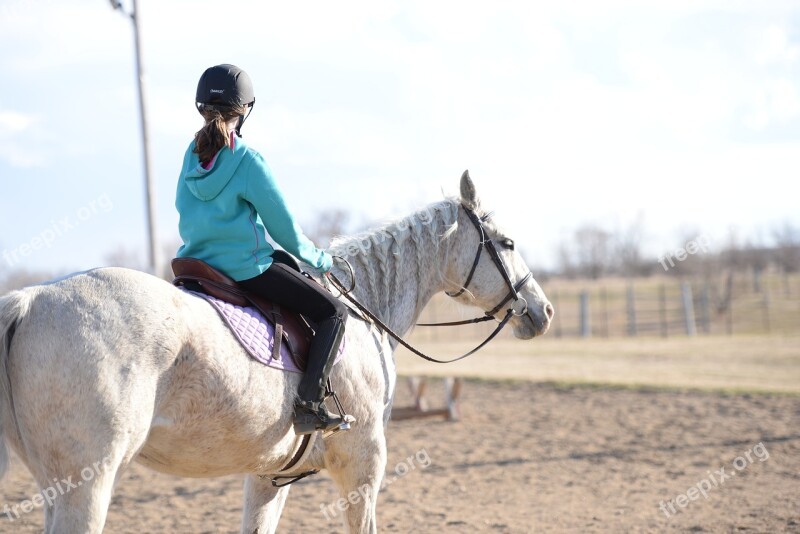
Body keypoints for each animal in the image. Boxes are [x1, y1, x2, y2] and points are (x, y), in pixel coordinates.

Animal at [0, 174, 552, 532]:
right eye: (506, 242)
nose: (541, 310)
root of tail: (31, 298)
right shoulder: (364, 467)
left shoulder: (269, 475)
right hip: (86, 486)